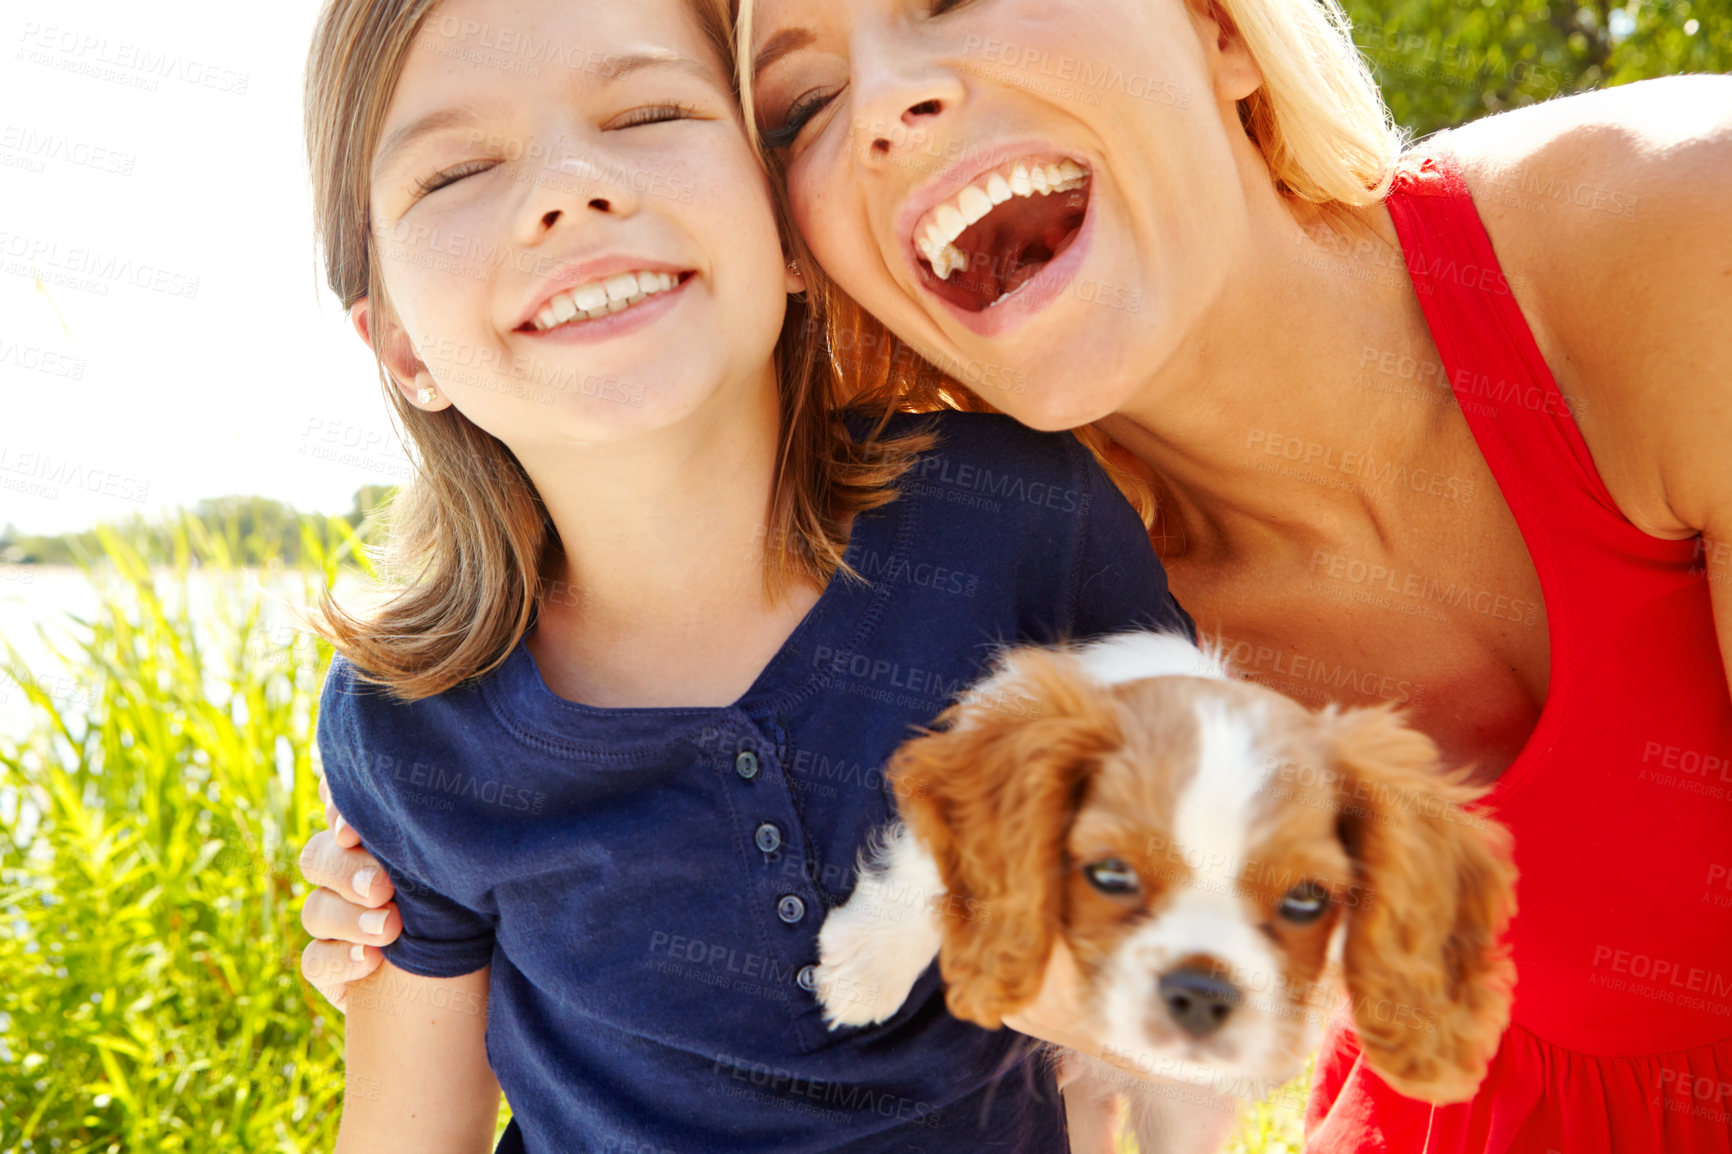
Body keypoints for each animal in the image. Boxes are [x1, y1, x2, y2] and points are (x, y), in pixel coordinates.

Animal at [810, 630, 1517, 1150]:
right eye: (1111, 874)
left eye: (1305, 902)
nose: (1203, 995)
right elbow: (934, 867)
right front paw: (868, 969)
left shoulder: (1188, 1102)